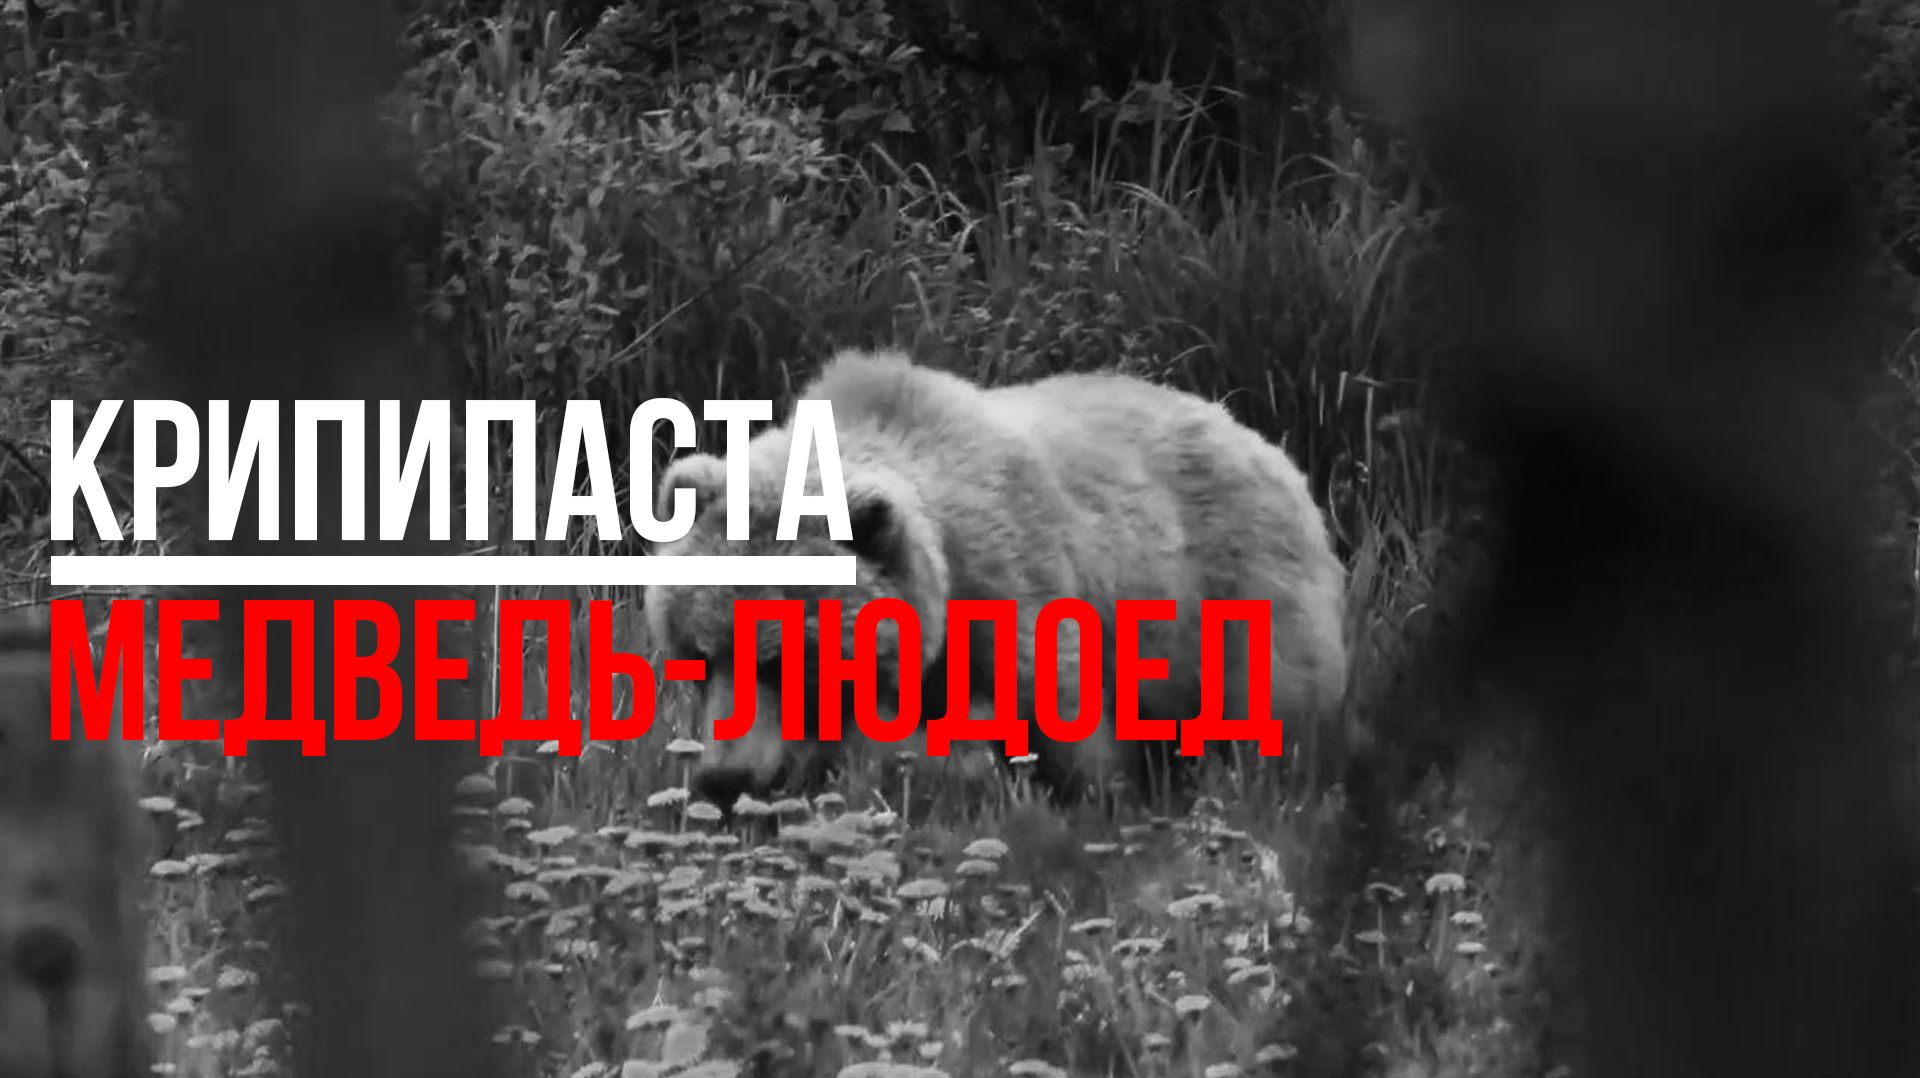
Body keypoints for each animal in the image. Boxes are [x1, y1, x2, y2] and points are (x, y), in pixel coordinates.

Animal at [642, 348, 1351, 810]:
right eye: (699, 654)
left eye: (781, 659)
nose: (726, 778)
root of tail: (1260, 439)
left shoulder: (1016, 595)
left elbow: (1062, 732)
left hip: (1234, 595)